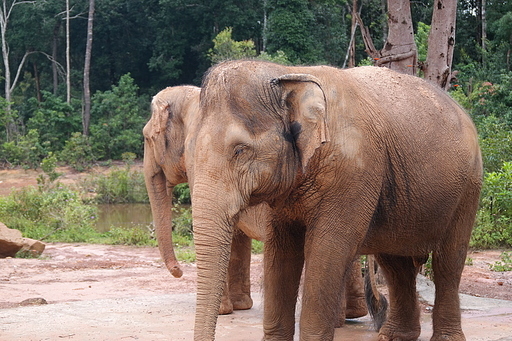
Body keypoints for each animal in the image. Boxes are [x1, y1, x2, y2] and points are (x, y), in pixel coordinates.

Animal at [187, 61, 480, 340]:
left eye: (240, 150)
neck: (289, 75)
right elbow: (280, 251)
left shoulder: (353, 172)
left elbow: (326, 250)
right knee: (395, 264)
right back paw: (394, 336)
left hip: (468, 187)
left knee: (447, 263)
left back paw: (445, 337)